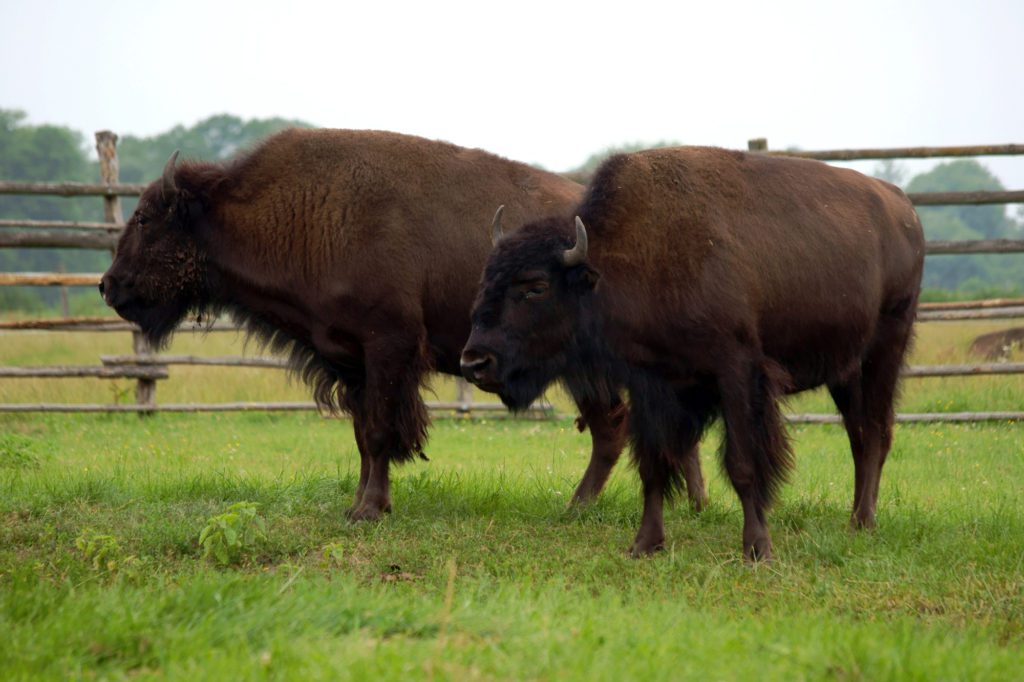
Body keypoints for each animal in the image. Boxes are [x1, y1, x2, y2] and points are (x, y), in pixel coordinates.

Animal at [99, 128, 708, 521]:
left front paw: (369, 511)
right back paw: (692, 506)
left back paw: (579, 507)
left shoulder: (388, 347)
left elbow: (379, 432)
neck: (310, 209)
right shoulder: (350, 361)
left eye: (145, 218)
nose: (108, 285)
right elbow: (364, 436)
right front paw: (361, 503)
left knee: (614, 427)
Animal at [461, 146, 925, 561]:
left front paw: (758, 549)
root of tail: (904, 208)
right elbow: (653, 465)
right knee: (859, 435)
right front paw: (644, 545)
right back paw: (856, 520)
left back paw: (863, 523)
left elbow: (743, 464)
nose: (475, 361)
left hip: (885, 349)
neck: (632, 257)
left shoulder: (737, 372)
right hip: (845, 372)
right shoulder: (650, 384)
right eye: (486, 278)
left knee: (876, 432)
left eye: (535, 286)